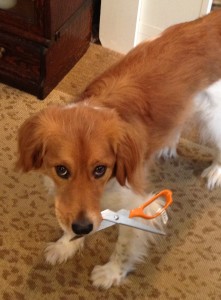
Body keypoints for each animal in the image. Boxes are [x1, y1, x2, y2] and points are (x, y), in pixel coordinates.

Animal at [16, 10, 221, 288]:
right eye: (61, 170)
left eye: (100, 169)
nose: (82, 229)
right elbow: (77, 219)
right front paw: (67, 245)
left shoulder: (138, 204)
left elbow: (124, 246)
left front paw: (112, 273)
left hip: (213, 118)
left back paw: (215, 171)